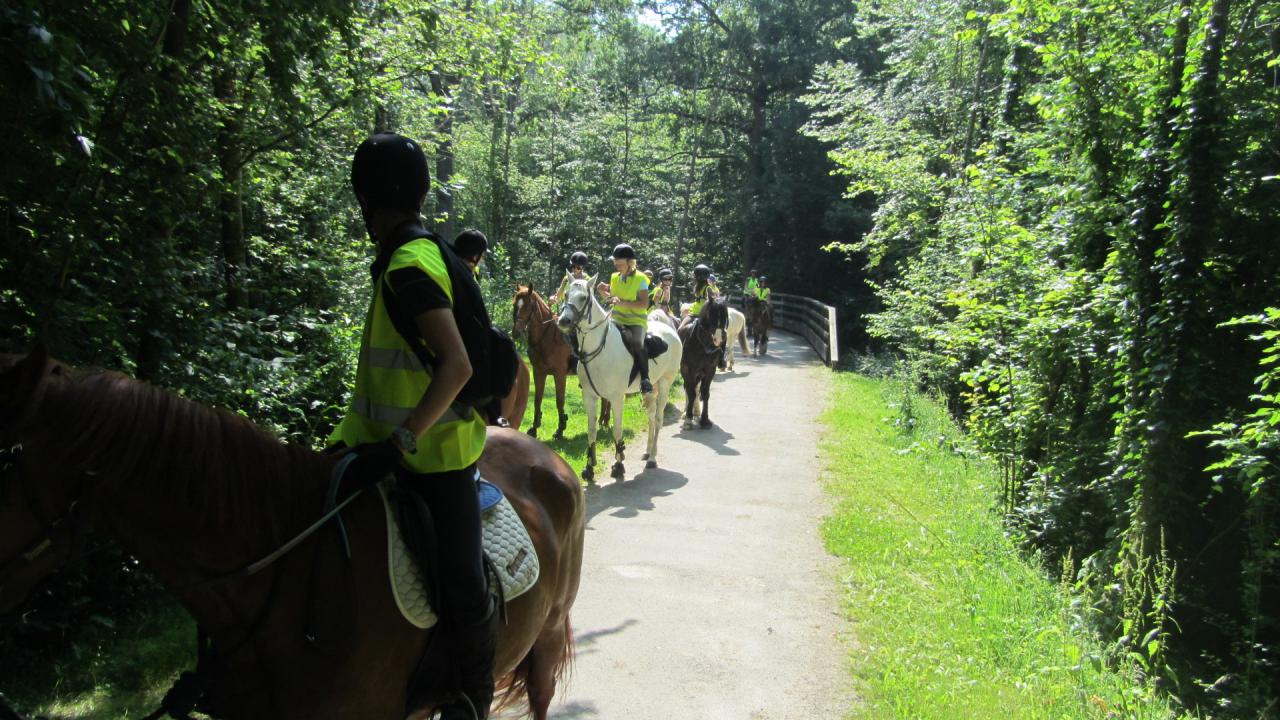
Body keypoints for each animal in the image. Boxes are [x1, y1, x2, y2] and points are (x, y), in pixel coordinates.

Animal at [512, 284, 573, 440]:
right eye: (514, 304)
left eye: (528, 306)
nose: (516, 333)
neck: (548, 338)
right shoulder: (539, 372)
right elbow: (537, 399)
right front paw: (534, 427)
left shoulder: (559, 374)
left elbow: (559, 400)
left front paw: (560, 428)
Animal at [558, 278, 686, 479]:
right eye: (565, 294)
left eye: (583, 297)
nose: (563, 320)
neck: (600, 348)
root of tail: (670, 330)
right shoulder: (589, 396)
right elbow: (591, 430)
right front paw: (589, 468)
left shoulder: (617, 398)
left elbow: (617, 429)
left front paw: (618, 465)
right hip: (650, 389)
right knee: (651, 417)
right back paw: (647, 452)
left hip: (665, 383)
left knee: (658, 418)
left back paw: (652, 459)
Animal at [675, 295, 727, 425]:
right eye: (712, 314)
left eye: (725, 315)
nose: (719, 338)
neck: (704, 345)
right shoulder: (690, 370)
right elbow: (691, 392)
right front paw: (688, 418)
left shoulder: (710, 371)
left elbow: (705, 393)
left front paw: (704, 419)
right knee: (688, 389)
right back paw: (687, 413)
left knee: (696, 389)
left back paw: (696, 411)